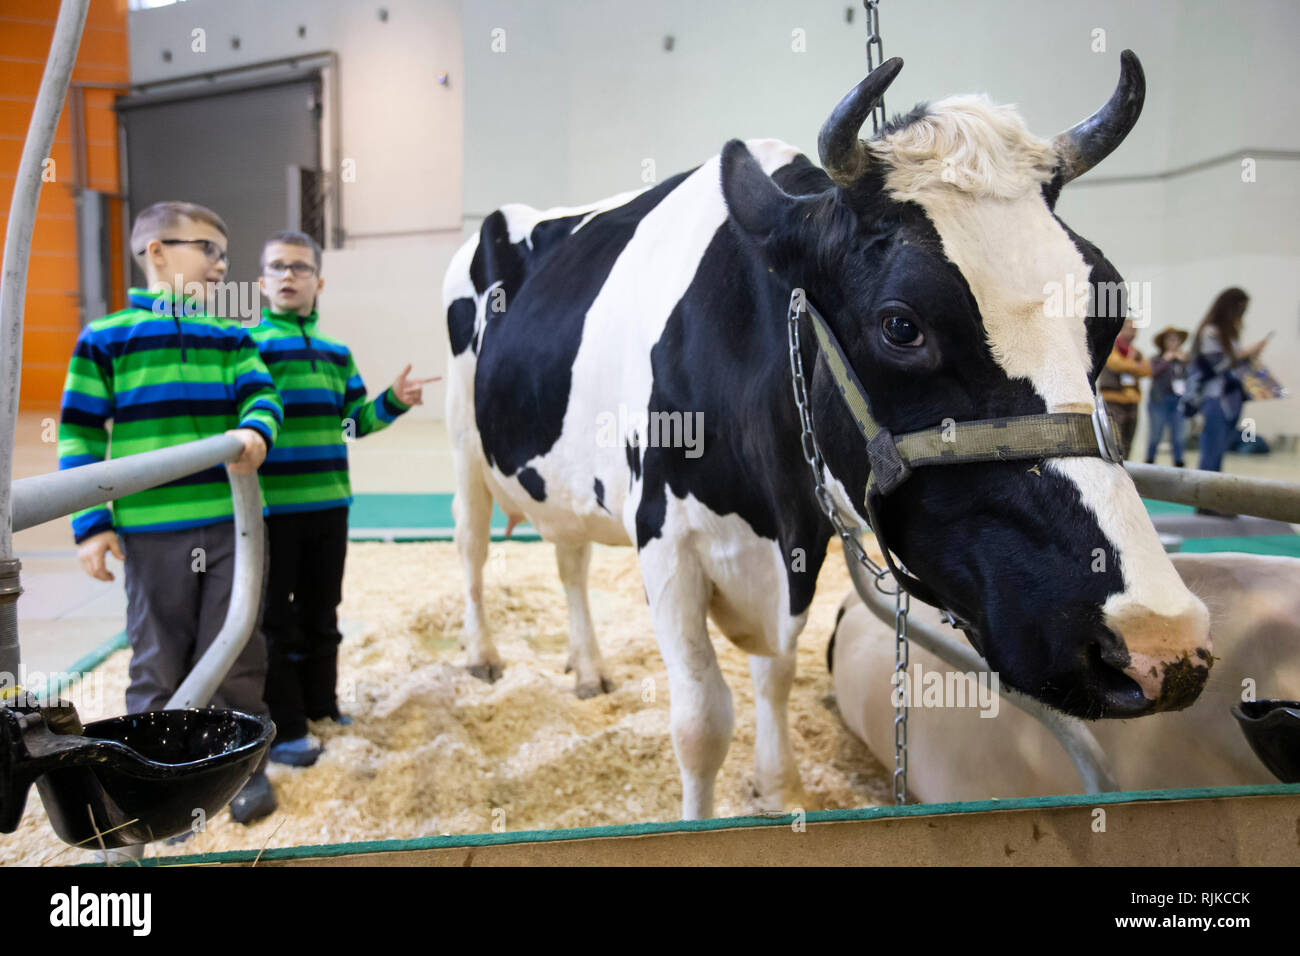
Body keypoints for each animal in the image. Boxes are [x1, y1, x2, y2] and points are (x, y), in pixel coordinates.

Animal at [444, 55, 1206, 816]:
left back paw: (587, 668)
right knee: (473, 546)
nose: (1159, 640)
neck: (774, 508)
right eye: (901, 325)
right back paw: (482, 655)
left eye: (1109, 309)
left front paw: (780, 790)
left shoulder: (796, 550)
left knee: (569, 557)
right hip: (464, 444)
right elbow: (701, 722)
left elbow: (775, 674)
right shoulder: (666, 539)